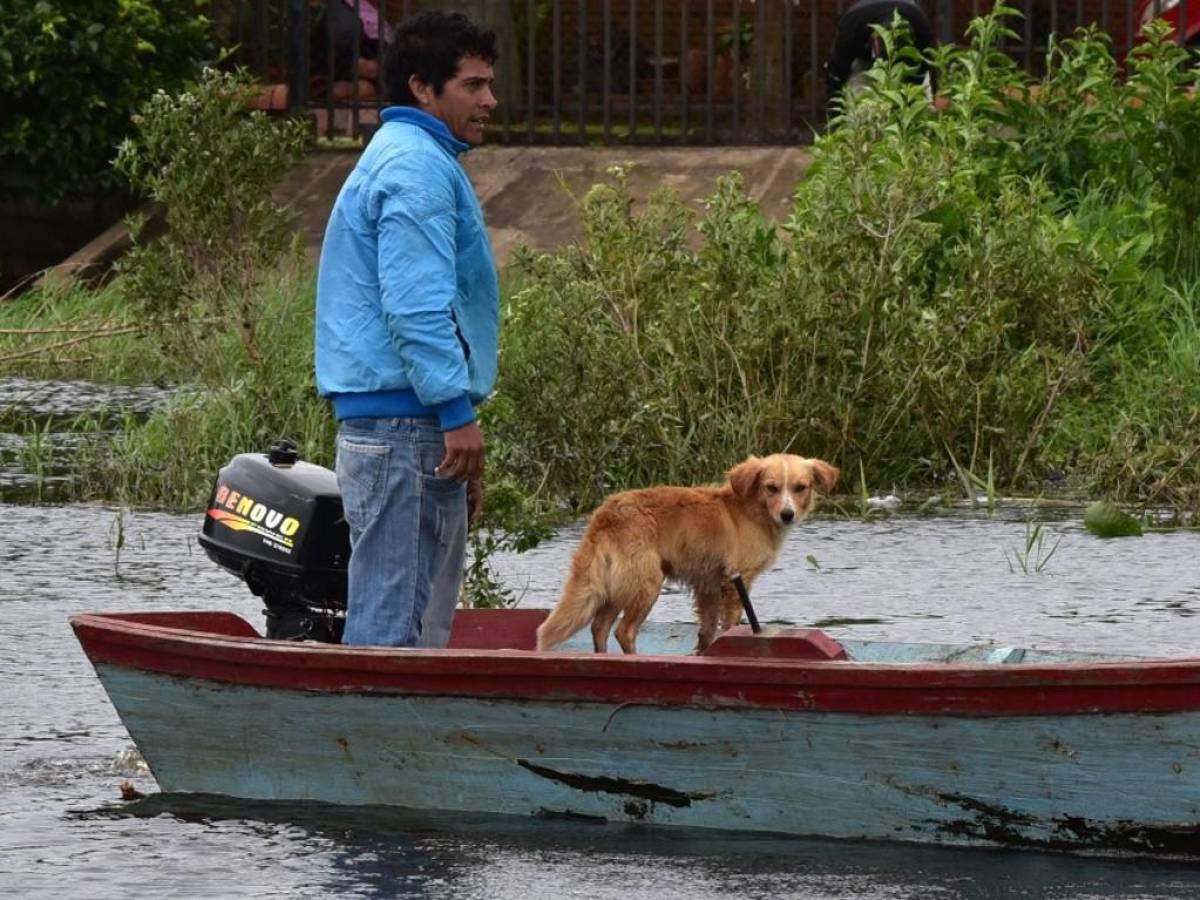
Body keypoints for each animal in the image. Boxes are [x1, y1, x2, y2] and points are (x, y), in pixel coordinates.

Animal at [540, 458, 840, 657]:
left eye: (800, 487)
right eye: (772, 487)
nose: (787, 514)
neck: (749, 510)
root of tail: (606, 514)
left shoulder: (709, 587)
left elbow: (707, 632)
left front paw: (704, 654)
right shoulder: (736, 582)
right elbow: (730, 624)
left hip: (615, 584)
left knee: (599, 627)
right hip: (647, 583)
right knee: (623, 631)